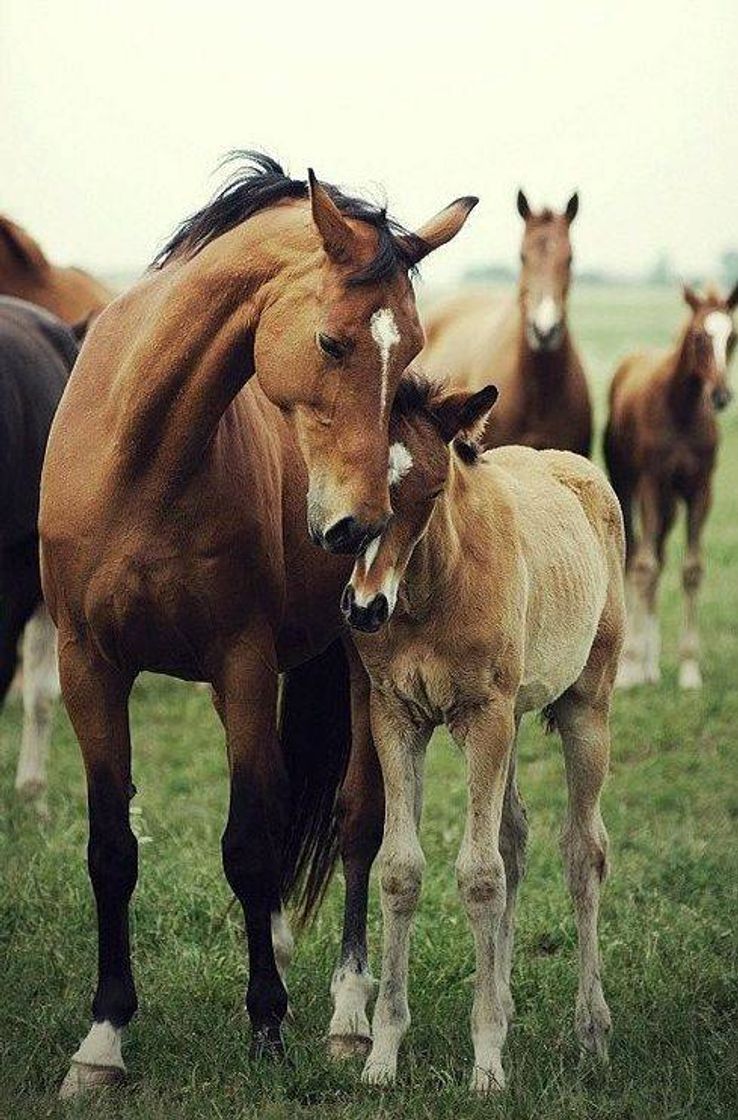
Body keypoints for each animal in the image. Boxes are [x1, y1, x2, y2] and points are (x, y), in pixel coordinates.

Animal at [38, 153, 479, 1097]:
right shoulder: (87, 666)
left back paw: (348, 1015)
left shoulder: (241, 665)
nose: (357, 527)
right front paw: (102, 1041)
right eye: (331, 343)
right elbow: (111, 849)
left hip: (352, 668)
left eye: (409, 351)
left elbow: (248, 843)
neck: (144, 456)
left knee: (355, 824)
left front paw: (268, 1024)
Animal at [340, 371, 622, 1088]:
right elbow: (401, 870)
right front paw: (382, 1054)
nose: (365, 608)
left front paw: (487, 1063)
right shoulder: (396, 717)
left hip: (586, 706)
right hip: (516, 715)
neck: (429, 590)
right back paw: (506, 996)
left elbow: (479, 875)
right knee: (515, 834)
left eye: (431, 491)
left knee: (584, 850)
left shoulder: (484, 717)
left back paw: (591, 1029)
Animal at [604, 284, 738, 685]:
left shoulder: (700, 490)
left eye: (732, 337)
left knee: (661, 556)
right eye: (699, 336)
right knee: (637, 555)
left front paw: (689, 669)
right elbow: (643, 566)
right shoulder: (651, 483)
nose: (721, 395)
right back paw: (637, 662)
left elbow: (691, 569)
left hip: (670, 503)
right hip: (629, 485)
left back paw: (651, 665)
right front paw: (629, 666)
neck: (681, 409)